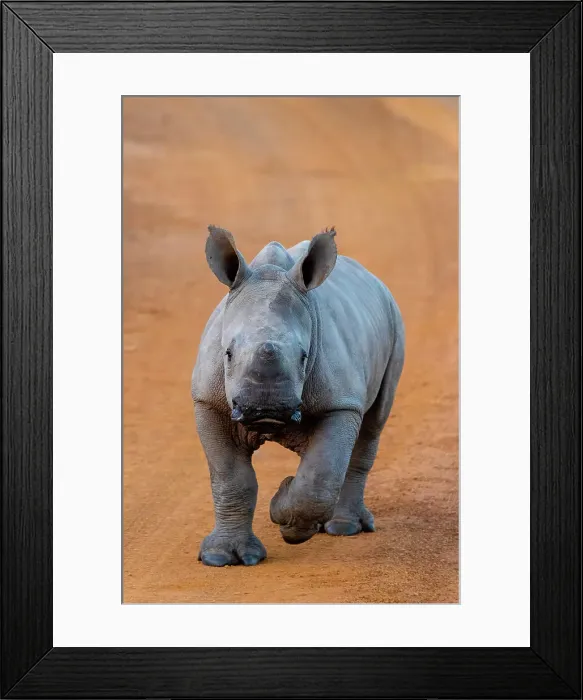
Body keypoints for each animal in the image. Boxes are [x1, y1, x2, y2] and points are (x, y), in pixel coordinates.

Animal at [191, 225, 405, 566]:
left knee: (372, 424)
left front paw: (285, 515)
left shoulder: (340, 404)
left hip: (394, 321)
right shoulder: (209, 401)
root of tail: (373, 278)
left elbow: (320, 477)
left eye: (304, 356)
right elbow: (230, 479)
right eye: (227, 354)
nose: (265, 409)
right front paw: (220, 558)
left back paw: (342, 527)